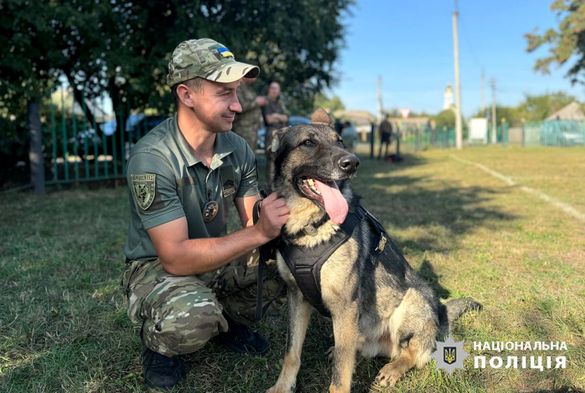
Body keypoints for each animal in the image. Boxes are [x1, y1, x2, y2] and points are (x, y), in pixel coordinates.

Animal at [266, 110, 482, 392]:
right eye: (308, 143)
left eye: (340, 141)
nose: (352, 163)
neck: (312, 228)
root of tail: (440, 314)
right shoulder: (297, 298)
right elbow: (292, 352)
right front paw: (282, 387)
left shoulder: (345, 306)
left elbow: (339, 376)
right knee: (354, 349)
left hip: (411, 300)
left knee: (413, 352)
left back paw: (392, 368)